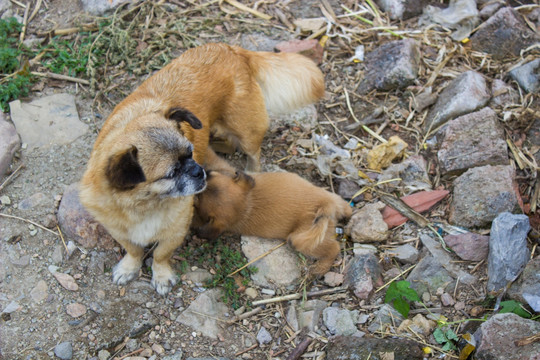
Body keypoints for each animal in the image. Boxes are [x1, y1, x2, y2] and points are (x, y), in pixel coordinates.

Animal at [80, 43, 324, 296]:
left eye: (190, 152)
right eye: (171, 173)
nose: (199, 171)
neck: (145, 207)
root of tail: (232, 49)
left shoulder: (175, 232)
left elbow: (160, 255)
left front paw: (161, 276)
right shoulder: (120, 231)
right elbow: (135, 250)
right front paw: (129, 267)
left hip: (246, 131)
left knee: (253, 153)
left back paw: (252, 169)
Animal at [192, 170, 352, 274]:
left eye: (198, 199)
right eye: (211, 175)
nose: (204, 170)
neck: (247, 202)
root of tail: (326, 204)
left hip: (302, 240)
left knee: (334, 248)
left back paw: (320, 268)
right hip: (334, 199)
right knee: (346, 207)